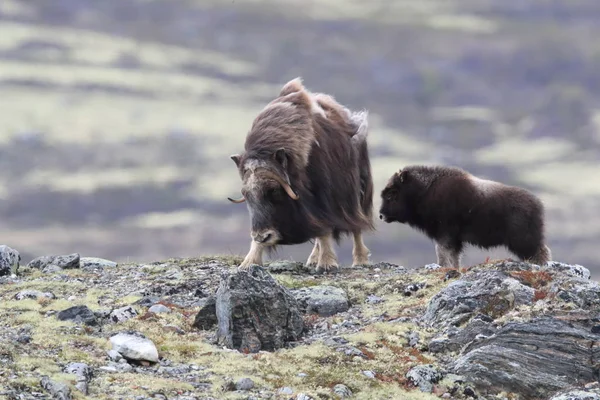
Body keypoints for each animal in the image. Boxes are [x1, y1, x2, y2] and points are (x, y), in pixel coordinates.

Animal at [227, 77, 372, 274]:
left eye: (274, 190)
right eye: (246, 194)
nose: (262, 236)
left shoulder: (321, 199)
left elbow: (324, 229)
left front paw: (327, 263)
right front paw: (248, 262)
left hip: (358, 190)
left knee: (356, 225)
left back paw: (360, 260)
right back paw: (312, 259)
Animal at [380, 164, 552, 268]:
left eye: (391, 194)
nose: (381, 215)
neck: (424, 191)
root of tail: (538, 205)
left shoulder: (445, 234)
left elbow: (442, 253)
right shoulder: (454, 240)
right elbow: (454, 256)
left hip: (524, 241)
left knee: (540, 253)